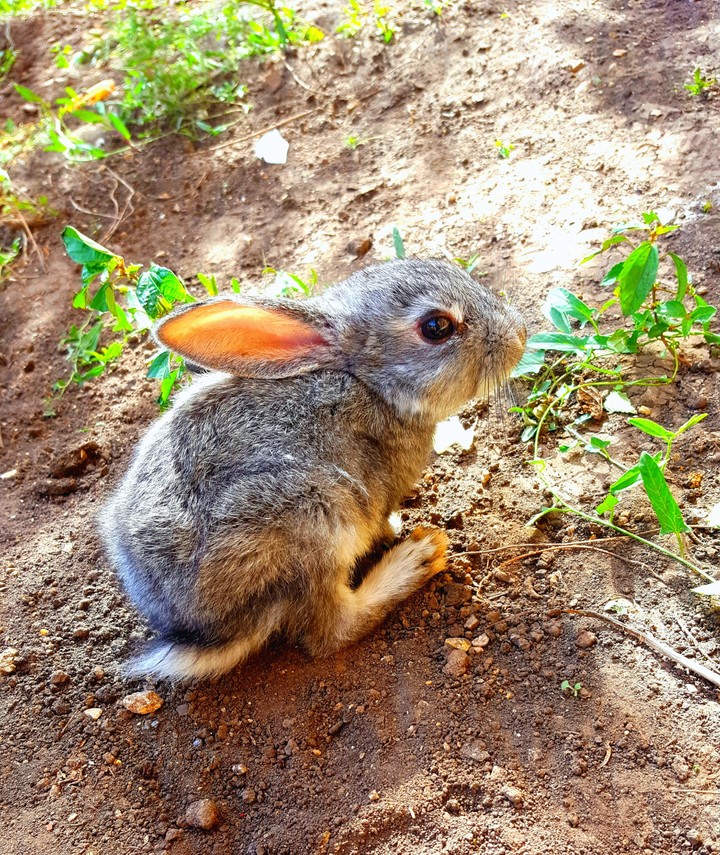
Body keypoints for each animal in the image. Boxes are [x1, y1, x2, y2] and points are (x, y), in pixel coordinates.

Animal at [100, 259, 526, 680]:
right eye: (437, 327)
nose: (519, 334)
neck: (367, 383)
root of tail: (201, 632)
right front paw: (395, 532)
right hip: (309, 517)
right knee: (331, 630)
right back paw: (417, 557)